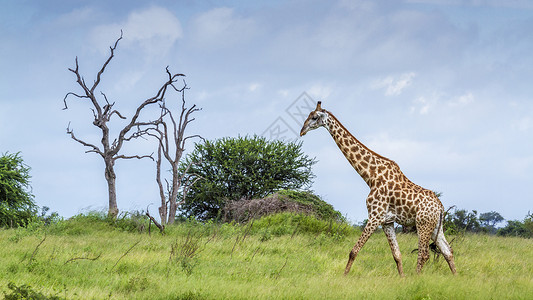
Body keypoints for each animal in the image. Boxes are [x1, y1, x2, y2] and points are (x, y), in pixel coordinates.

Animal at [302, 101, 456, 276]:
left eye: (314, 117)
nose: (302, 131)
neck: (370, 176)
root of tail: (441, 207)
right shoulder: (386, 222)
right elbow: (397, 255)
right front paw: (402, 278)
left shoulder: (374, 216)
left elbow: (354, 251)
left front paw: (344, 276)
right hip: (436, 226)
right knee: (448, 251)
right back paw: (455, 277)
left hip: (423, 223)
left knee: (424, 254)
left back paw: (417, 278)